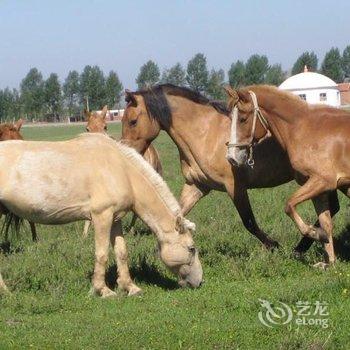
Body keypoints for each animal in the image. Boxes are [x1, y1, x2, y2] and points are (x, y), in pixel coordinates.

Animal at [0, 133, 202, 296]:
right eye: (191, 248)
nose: (200, 282)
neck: (121, 170)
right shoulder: (101, 216)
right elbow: (102, 253)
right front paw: (102, 290)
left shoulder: (115, 218)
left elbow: (121, 252)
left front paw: (129, 287)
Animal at [121, 85, 340, 254]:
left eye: (133, 121)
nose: (125, 152)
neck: (204, 133)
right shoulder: (197, 186)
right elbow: (177, 216)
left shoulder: (235, 186)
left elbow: (249, 221)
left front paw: (273, 245)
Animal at [224, 84, 350, 266]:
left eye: (242, 119)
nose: (232, 158)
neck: (303, 129)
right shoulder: (319, 188)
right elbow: (326, 222)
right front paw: (329, 262)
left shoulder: (323, 181)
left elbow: (289, 205)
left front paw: (315, 233)